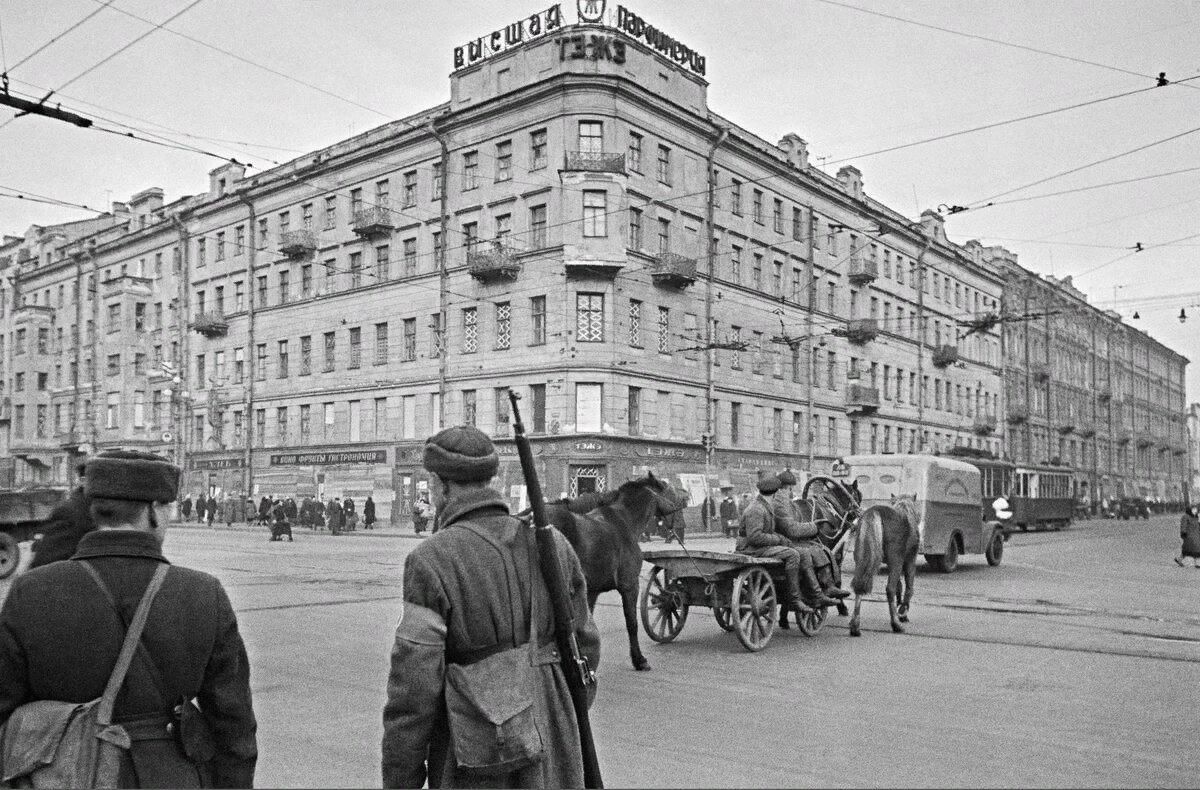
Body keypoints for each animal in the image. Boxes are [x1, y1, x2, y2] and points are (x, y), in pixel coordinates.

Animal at [544, 470, 686, 667]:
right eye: (666, 486)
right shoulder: (630, 586)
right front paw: (639, 659)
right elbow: (632, 623)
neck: (624, 520)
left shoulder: (591, 591)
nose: (684, 500)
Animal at [844, 489, 916, 638]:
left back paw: (855, 626)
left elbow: (900, 586)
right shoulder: (909, 559)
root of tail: (874, 511)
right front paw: (903, 612)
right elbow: (908, 587)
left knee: (860, 585)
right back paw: (896, 624)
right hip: (896, 560)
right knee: (890, 589)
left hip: (861, 558)